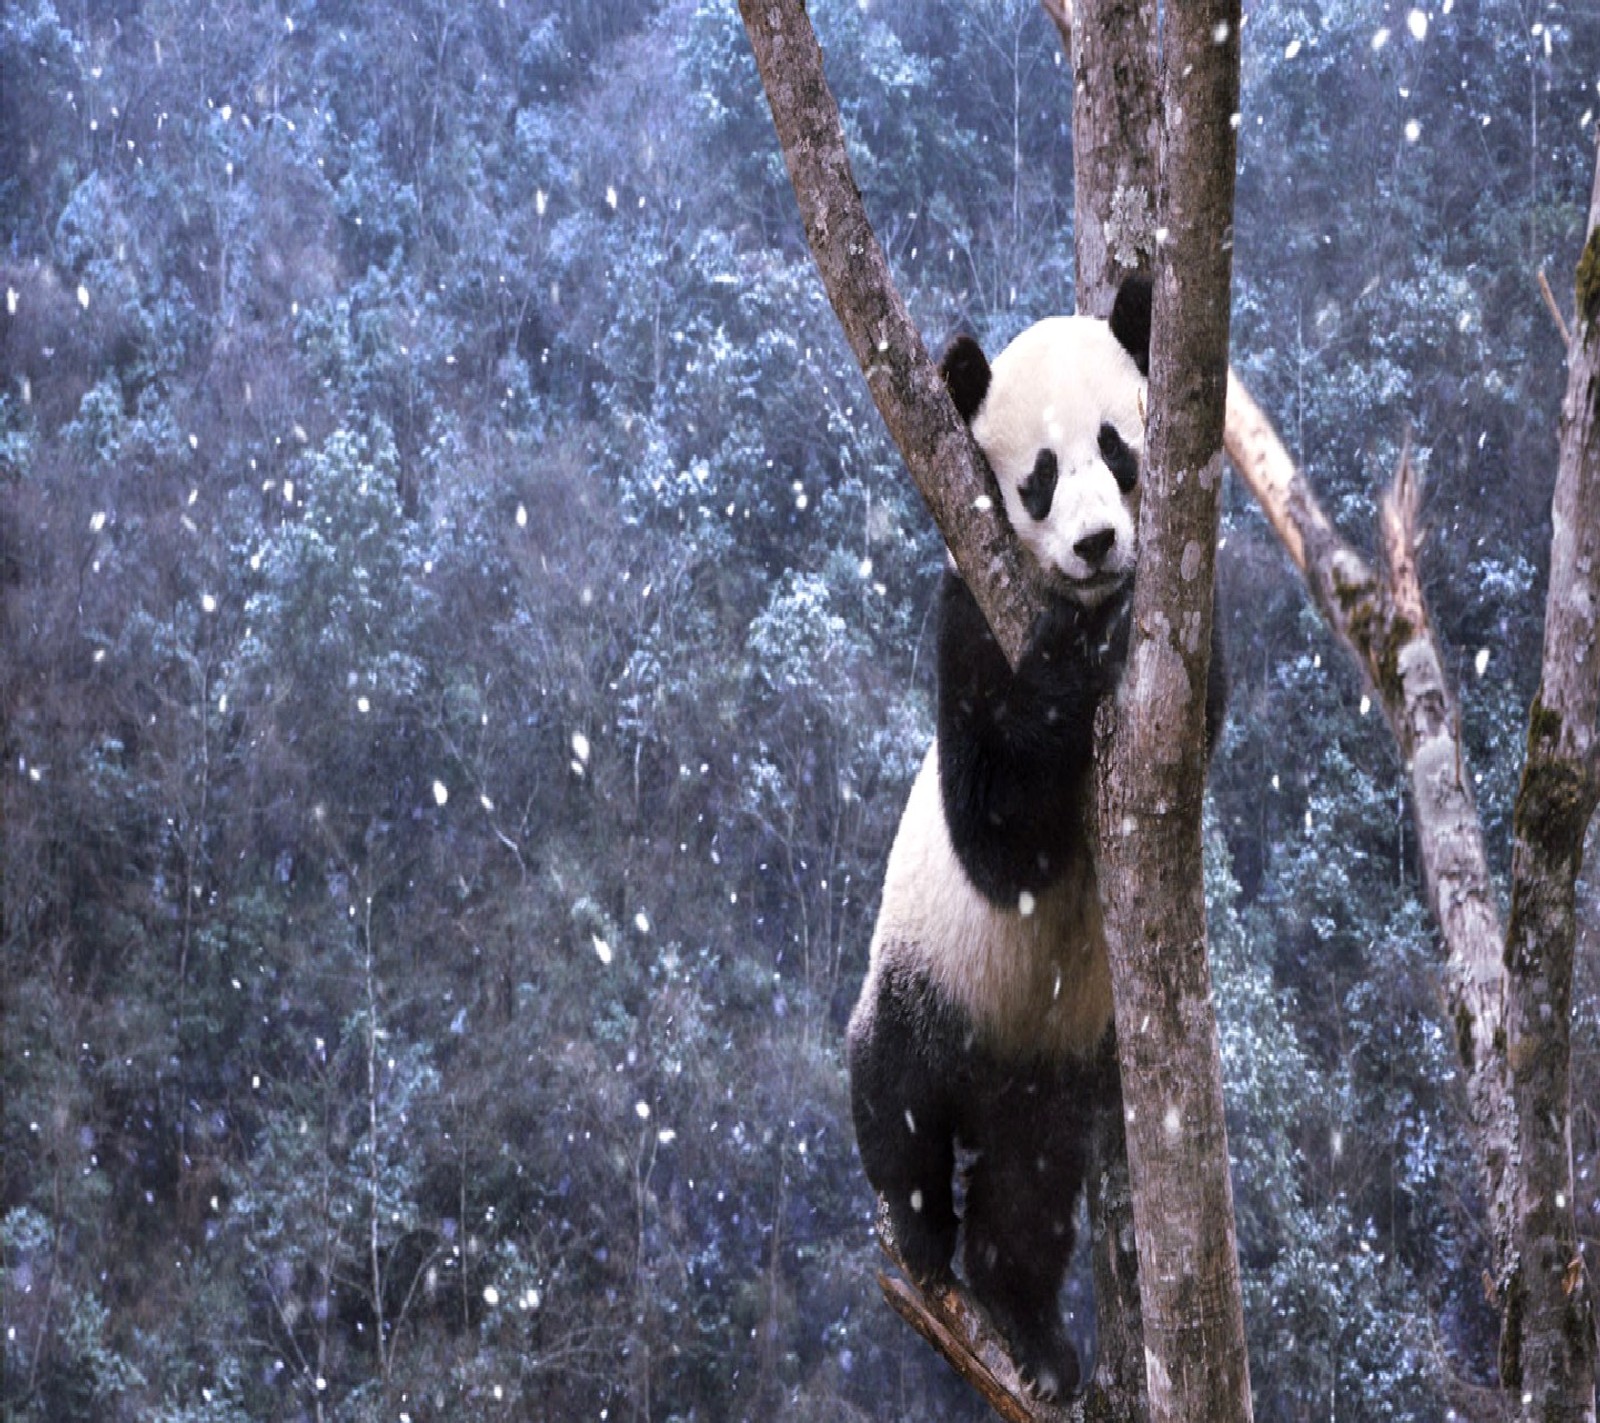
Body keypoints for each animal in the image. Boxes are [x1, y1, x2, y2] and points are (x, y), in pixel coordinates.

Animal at [851, 275, 1222, 1402]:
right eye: (1040, 480)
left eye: (1120, 450)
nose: (1099, 545)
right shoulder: (966, 617)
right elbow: (996, 829)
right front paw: (1069, 656)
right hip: (924, 971)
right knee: (894, 1099)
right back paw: (923, 1240)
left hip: (1048, 1073)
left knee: (1029, 1193)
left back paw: (1034, 1338)